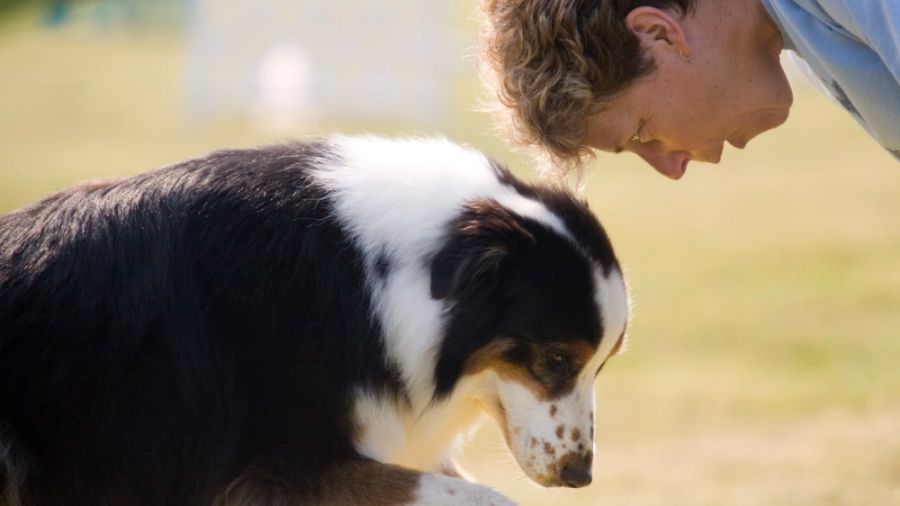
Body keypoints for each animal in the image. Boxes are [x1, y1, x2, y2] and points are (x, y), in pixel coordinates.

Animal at [0, 136, 628, 504]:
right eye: (555, 359)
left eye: (599, 366)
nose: (580, 476)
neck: (375, 286)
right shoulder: (271, 468)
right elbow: (481, 497)